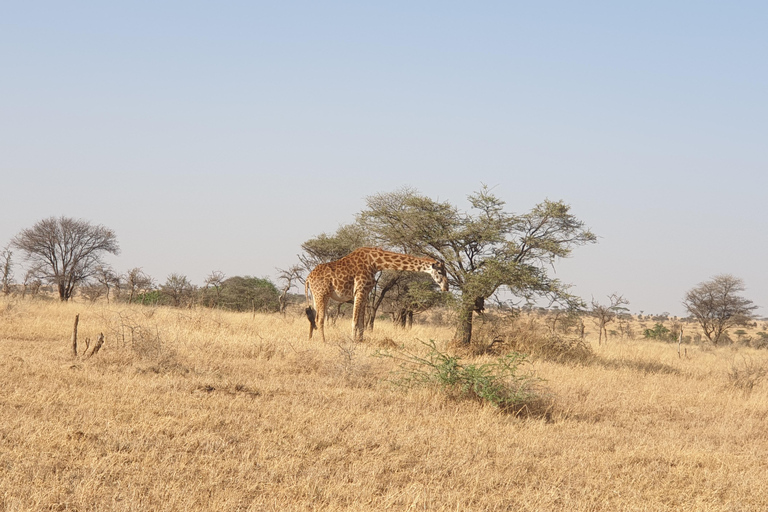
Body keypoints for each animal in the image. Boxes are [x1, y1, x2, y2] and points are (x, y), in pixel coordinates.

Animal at [304, 247, 450, 342]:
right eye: (440, 272)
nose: (446, 287)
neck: (375, 262)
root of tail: (308, 278)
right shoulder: (360, 290)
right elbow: (355, 321)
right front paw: (353, 341)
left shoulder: (365, 292)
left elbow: (362, 322)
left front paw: (360, 341)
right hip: (322, 294)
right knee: (320, 319)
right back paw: (323, 341)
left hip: (317, 296)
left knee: (313, 318)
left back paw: (310, 339)